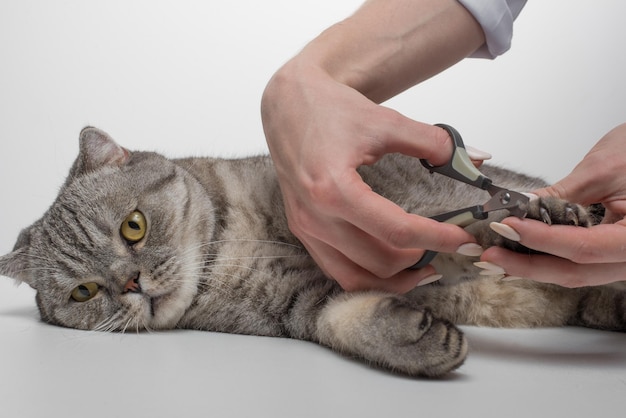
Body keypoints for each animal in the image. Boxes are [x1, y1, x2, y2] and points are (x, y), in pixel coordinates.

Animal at [1, 126, 624, 376]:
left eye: (133, 227)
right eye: (85, 292)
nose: (130, 285)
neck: (228, 247)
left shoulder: (413, 198)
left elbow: (457, 219)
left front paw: (543, 216)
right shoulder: (299, 303)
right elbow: (344, 318)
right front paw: (419, 340)